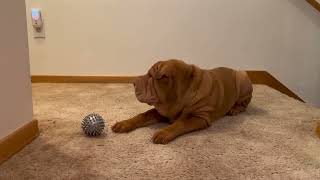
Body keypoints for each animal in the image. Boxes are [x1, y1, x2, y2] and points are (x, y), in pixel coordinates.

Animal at [112, 59, 252, 144]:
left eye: (151, 76)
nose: (133, 82)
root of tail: (234, 69)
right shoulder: (162, 111)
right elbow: (143, 115)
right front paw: (124, 123)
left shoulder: (200, 117)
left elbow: (180, 123)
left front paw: (163, 132)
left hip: (242, 78)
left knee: (245, 103)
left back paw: (234, 109)